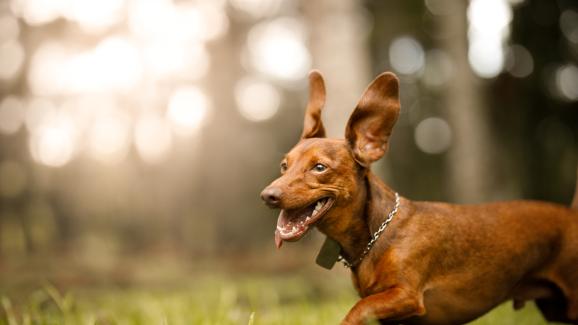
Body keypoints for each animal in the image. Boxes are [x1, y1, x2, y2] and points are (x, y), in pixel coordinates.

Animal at [260, 69, 576, 322]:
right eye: (284, 166)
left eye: (320, 167)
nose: (267, 196)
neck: (376, 236)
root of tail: (572, 214)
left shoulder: (407, 296)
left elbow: (357, 309)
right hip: (556, 309)